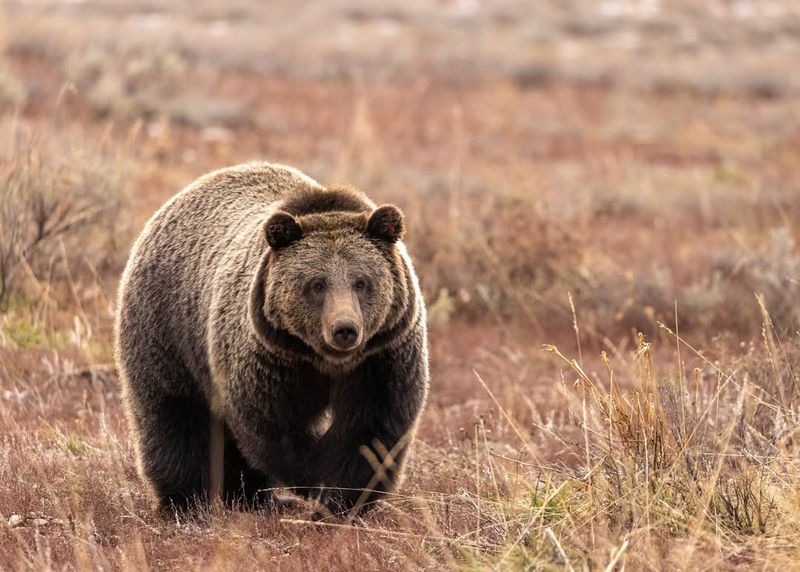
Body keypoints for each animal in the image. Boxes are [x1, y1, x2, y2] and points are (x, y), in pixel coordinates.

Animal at [115, 161, 428, 512]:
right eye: (317, 284)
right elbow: (274, 427)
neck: (325, 362)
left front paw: (340, 500)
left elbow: (370, 430)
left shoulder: (381, 358)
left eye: (361, 282)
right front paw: (312, 479)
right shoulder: (270, 360)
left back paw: (246, 497)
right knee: (174, 416)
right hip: (167, 330)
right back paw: (185, 500)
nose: (344, 329)